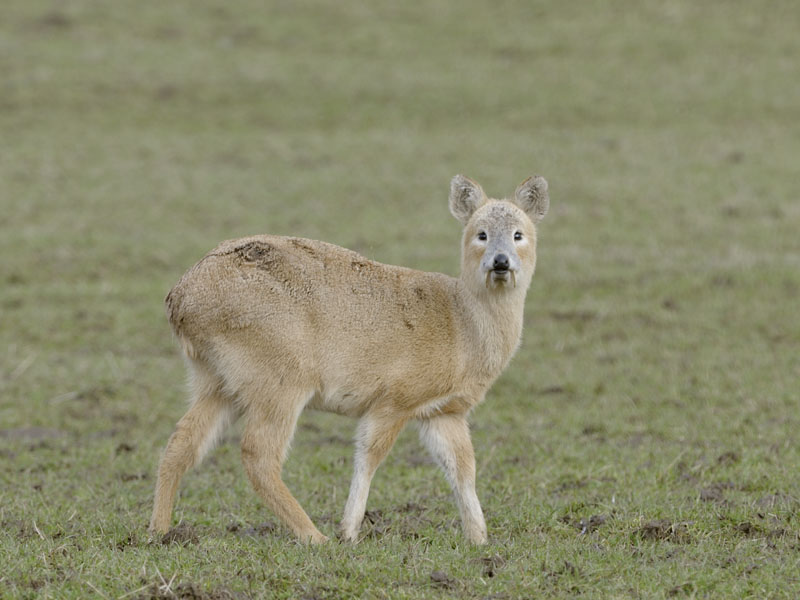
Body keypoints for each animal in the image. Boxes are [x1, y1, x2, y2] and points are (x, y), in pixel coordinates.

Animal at [148, 174, 549, 544]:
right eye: (480, 233)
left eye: (519, 234)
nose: (500, 262)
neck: (462, 322)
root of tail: (179, 298)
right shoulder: (394, 398)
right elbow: (368, 457)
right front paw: (348, 531)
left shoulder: (444, 411)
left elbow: (463, 469)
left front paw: (479, 538)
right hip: (280, 375)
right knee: (257, 454)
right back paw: (314, 537)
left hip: (216, 379)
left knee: (181, 442)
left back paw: (159, 531)